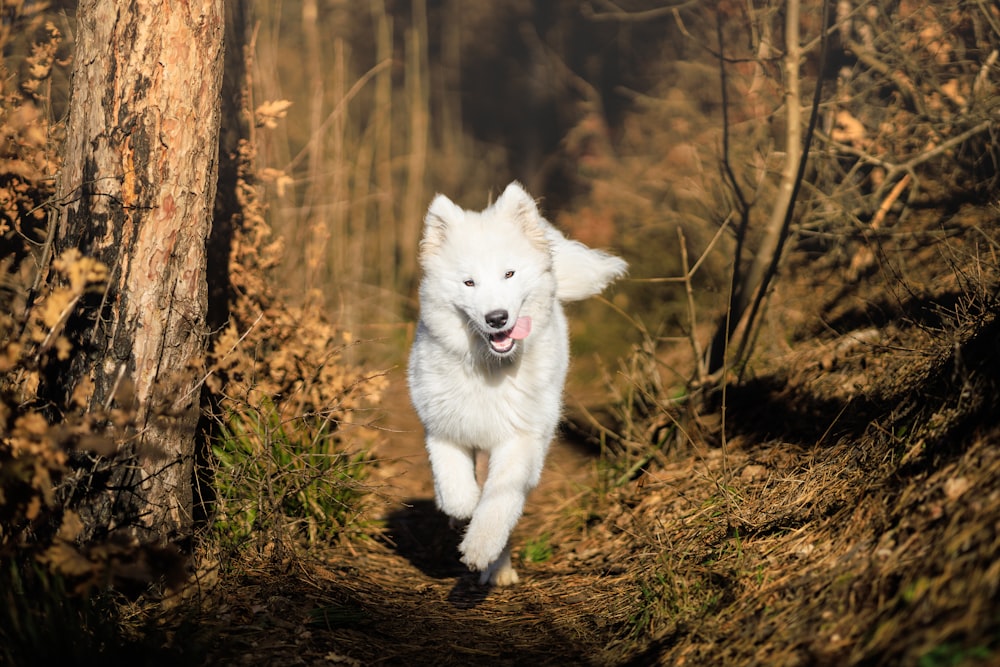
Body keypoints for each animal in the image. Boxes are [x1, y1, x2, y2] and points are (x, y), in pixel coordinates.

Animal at [406, 183, 624, 584]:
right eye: (469, 282)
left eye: (509, 273)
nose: (497, 318)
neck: (489, 368)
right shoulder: (443, 429)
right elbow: (456, 489)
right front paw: (459, 510)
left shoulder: (520, 440)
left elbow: (498, 501)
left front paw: (480, 549)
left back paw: (499, 568)